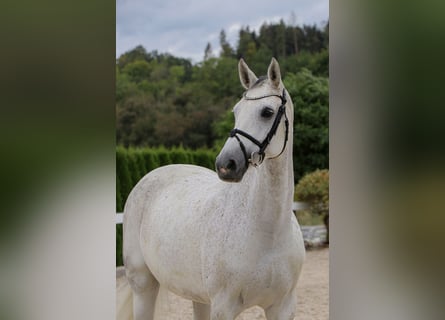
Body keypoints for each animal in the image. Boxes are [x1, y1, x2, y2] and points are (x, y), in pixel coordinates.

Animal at [122, 58, 306, 320]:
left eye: (267, 112)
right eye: (236, 111)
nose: (226, 165)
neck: (268, 231)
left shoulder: (282, 307)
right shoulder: (224, 307)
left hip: (198, 296)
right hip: (143, 284)